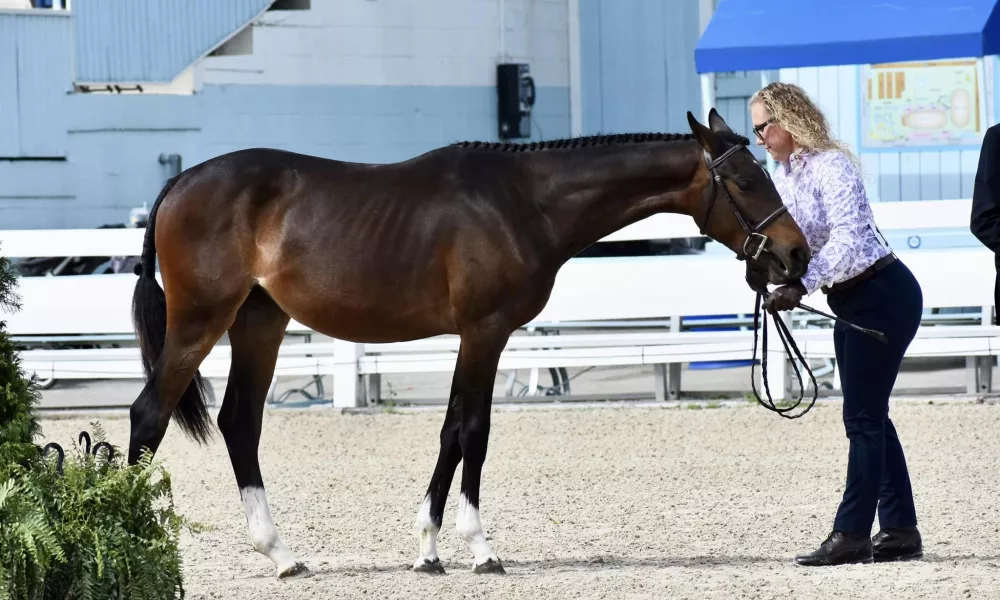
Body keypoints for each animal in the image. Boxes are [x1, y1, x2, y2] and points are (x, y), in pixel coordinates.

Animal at [125, 110, 812, 580]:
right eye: (746, 181)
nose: (795, 255)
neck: (524, 202)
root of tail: (182, 182)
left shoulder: (475, 336)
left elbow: (452, 430)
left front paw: (429, 549)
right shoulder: (485, 331)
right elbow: (473, 432)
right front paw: (479, 547)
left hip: (258, 325)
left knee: (240, 422)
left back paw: (281, 554)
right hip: (200, 322)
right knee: (148, 414)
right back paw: (135, 541)